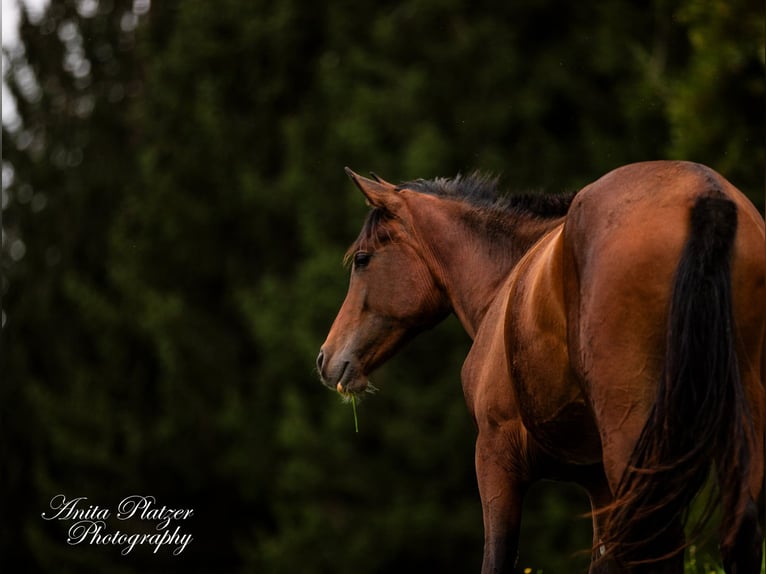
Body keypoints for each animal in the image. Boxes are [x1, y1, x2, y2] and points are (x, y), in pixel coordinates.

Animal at [316, 160, 764, 572]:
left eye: (362, 259)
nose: (325, 358)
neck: (506, 285)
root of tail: (704, 196)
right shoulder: (599, 485)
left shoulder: (495, 458)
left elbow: (497, 557)